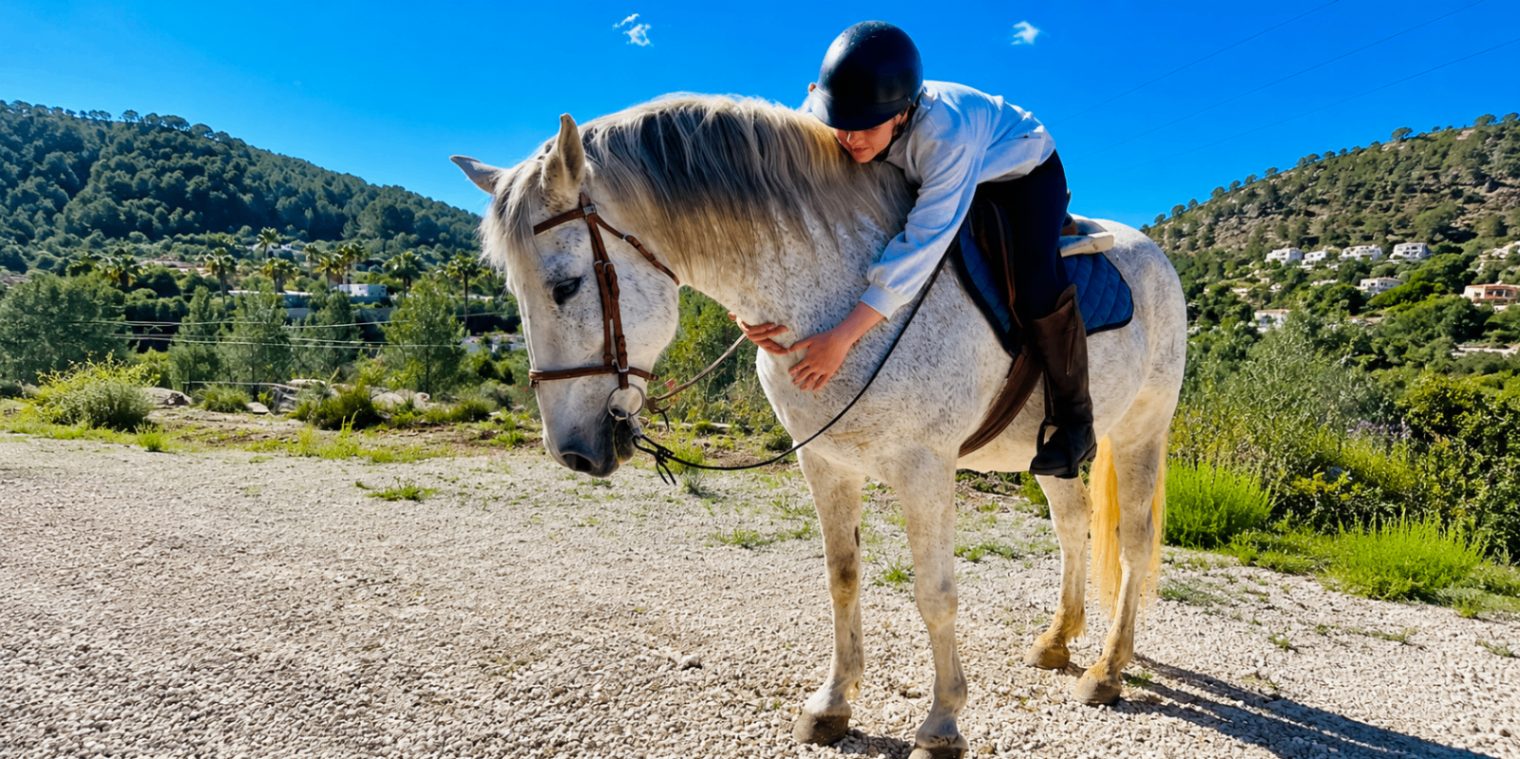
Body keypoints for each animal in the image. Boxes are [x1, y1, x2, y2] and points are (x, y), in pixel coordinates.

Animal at [452, 94, 1186, 759]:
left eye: (566, 286)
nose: (573, 452)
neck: (842, 292)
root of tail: (1152, 252)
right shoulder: (826, 462)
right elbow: (842, 578)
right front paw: (833, 705)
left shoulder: (925, 469)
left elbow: (936, 594)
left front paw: (942, 723)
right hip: (1051, 454)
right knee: (1072, 524)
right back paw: (1057, 641)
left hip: (1140, 432)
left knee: (1134, 541)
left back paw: (1107, 670)